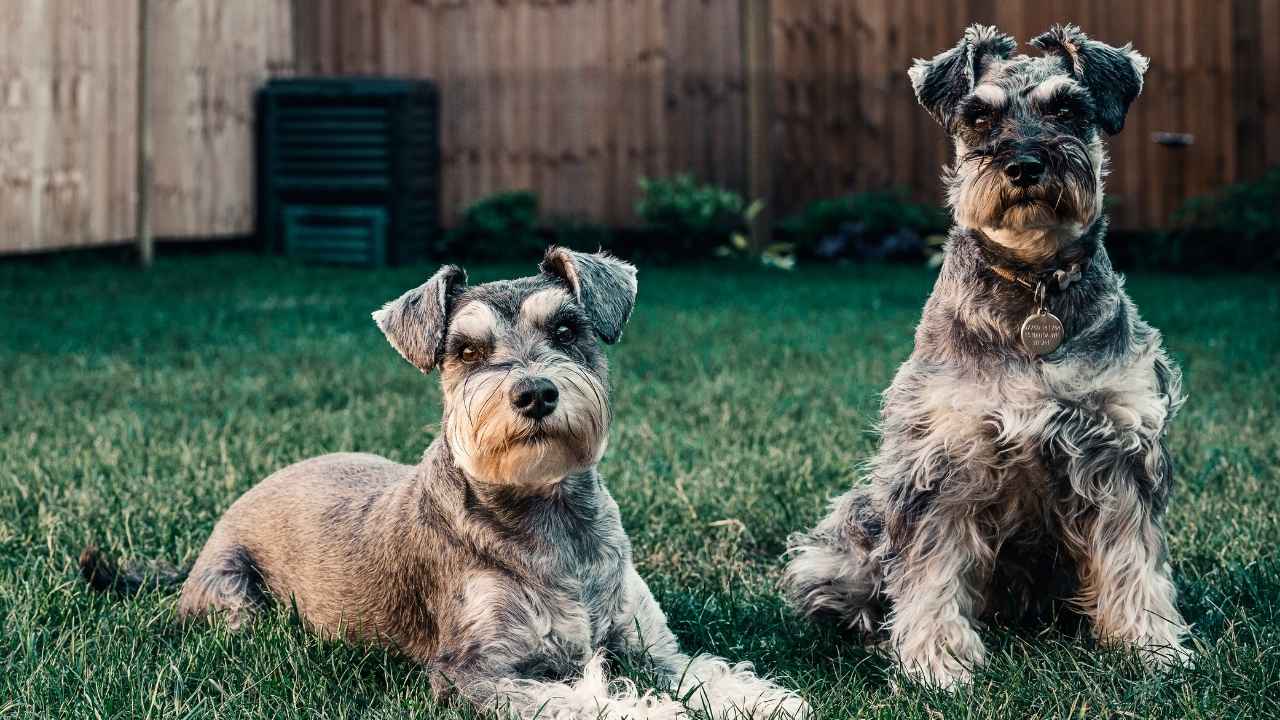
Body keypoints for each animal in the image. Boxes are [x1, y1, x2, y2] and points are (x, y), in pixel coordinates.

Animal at [85, 248, 808, 717]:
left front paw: (766, 699)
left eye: (567, 328)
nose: (535, 393)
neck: (551, 519)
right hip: (236, 605)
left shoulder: (651, 646)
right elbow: (585, 701)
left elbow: (706, 672)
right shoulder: (476, 674)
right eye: (465, 350)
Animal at [783, 22, 1192, 681]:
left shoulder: (1119, 449)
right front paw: (938, 661)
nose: (1024, 165)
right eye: (978, 116)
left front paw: (1152, 645)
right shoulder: (944, 458)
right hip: (847, 537)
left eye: (1067, 110)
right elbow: (931, 569)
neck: (1033, 284)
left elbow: (1135, 559)